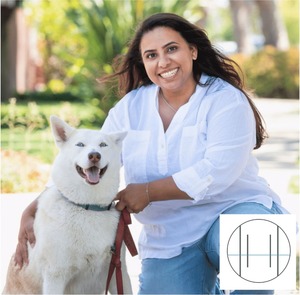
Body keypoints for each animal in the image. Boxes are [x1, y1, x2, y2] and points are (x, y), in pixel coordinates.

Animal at [2, 117, 131, 294]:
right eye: (80, 144)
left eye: (103, 145)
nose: (94, 156)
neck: (87, 206)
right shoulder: (55, 275)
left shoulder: (119, 272)